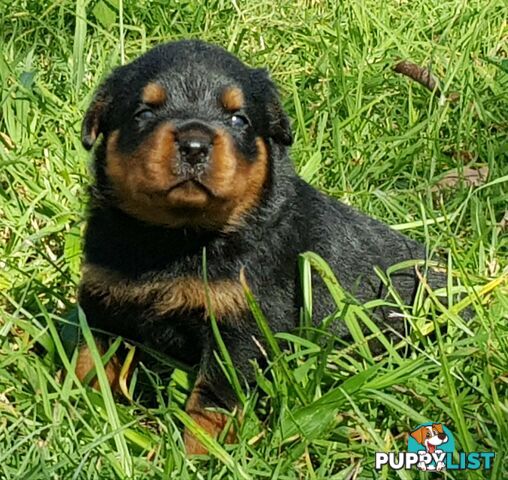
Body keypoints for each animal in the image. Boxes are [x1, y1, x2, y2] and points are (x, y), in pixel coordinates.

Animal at [77, 40, 442, 454]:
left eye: (239, 119)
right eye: (144, 112)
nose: (194, 145)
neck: (178, 238)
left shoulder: (241, 326)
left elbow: (211, 402)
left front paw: (201, 454)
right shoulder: (103, 300)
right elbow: (88, 362)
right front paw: (78, 415)